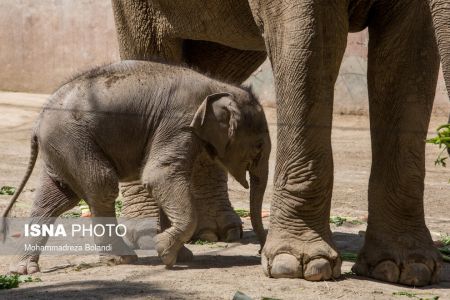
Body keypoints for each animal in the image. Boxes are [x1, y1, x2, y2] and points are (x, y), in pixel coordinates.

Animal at [1, 60, 270, 274]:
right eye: (258, 147)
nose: (260, 252)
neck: (217, 87)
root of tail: (37, 122)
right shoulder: (179, 121)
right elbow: (159, 175)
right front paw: (166, 254)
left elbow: (164, 179)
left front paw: (180, 254)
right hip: (71, 141)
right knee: (101, 185)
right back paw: (121, 258)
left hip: (61, 148)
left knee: (55, 200)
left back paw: (23, 269)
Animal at [111, 0, 450, 286]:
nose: (262, 251)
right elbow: (311, 43)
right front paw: (298, 265)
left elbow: (410, 52)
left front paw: (405, 268)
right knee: (151, 49)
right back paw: (148, 234)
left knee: (216, 67)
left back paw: (213, 233)